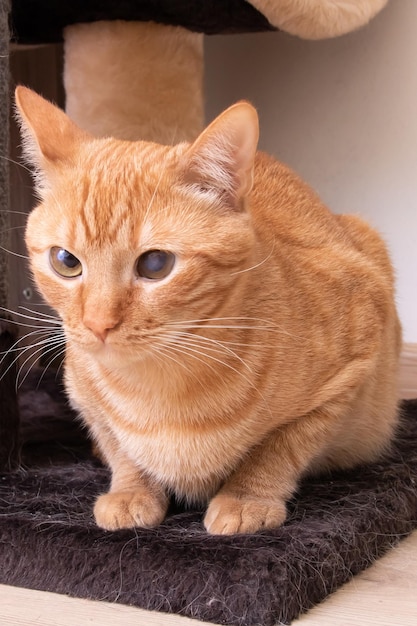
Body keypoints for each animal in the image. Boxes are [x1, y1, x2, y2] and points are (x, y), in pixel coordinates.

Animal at [15, 86, 400, 532]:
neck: (157, 387)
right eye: (66, 261)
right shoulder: (83, 396)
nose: (97, 325)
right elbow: (119, 447)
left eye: (155, 264)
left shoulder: (354, 360)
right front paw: (131, 490)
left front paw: (246, 497)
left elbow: (281, 447)